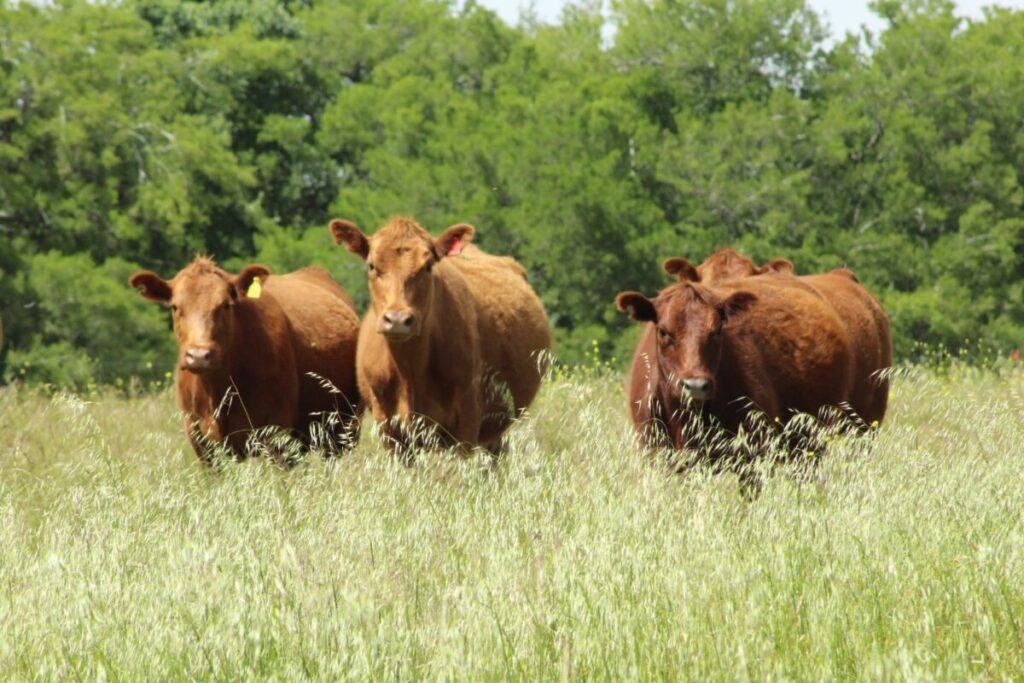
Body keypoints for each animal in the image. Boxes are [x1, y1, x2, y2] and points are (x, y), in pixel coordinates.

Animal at [130, 257, 361, 461]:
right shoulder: (202, 443)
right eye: (175, 306)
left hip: (343, 432)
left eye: (225, 305)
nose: (199, 356)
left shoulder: (277, 436)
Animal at [329, 216, 551, 453]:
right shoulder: (388, 427)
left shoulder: (466, 423)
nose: (397, 320)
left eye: (427, 266)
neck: (410, 371)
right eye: (372, 266)